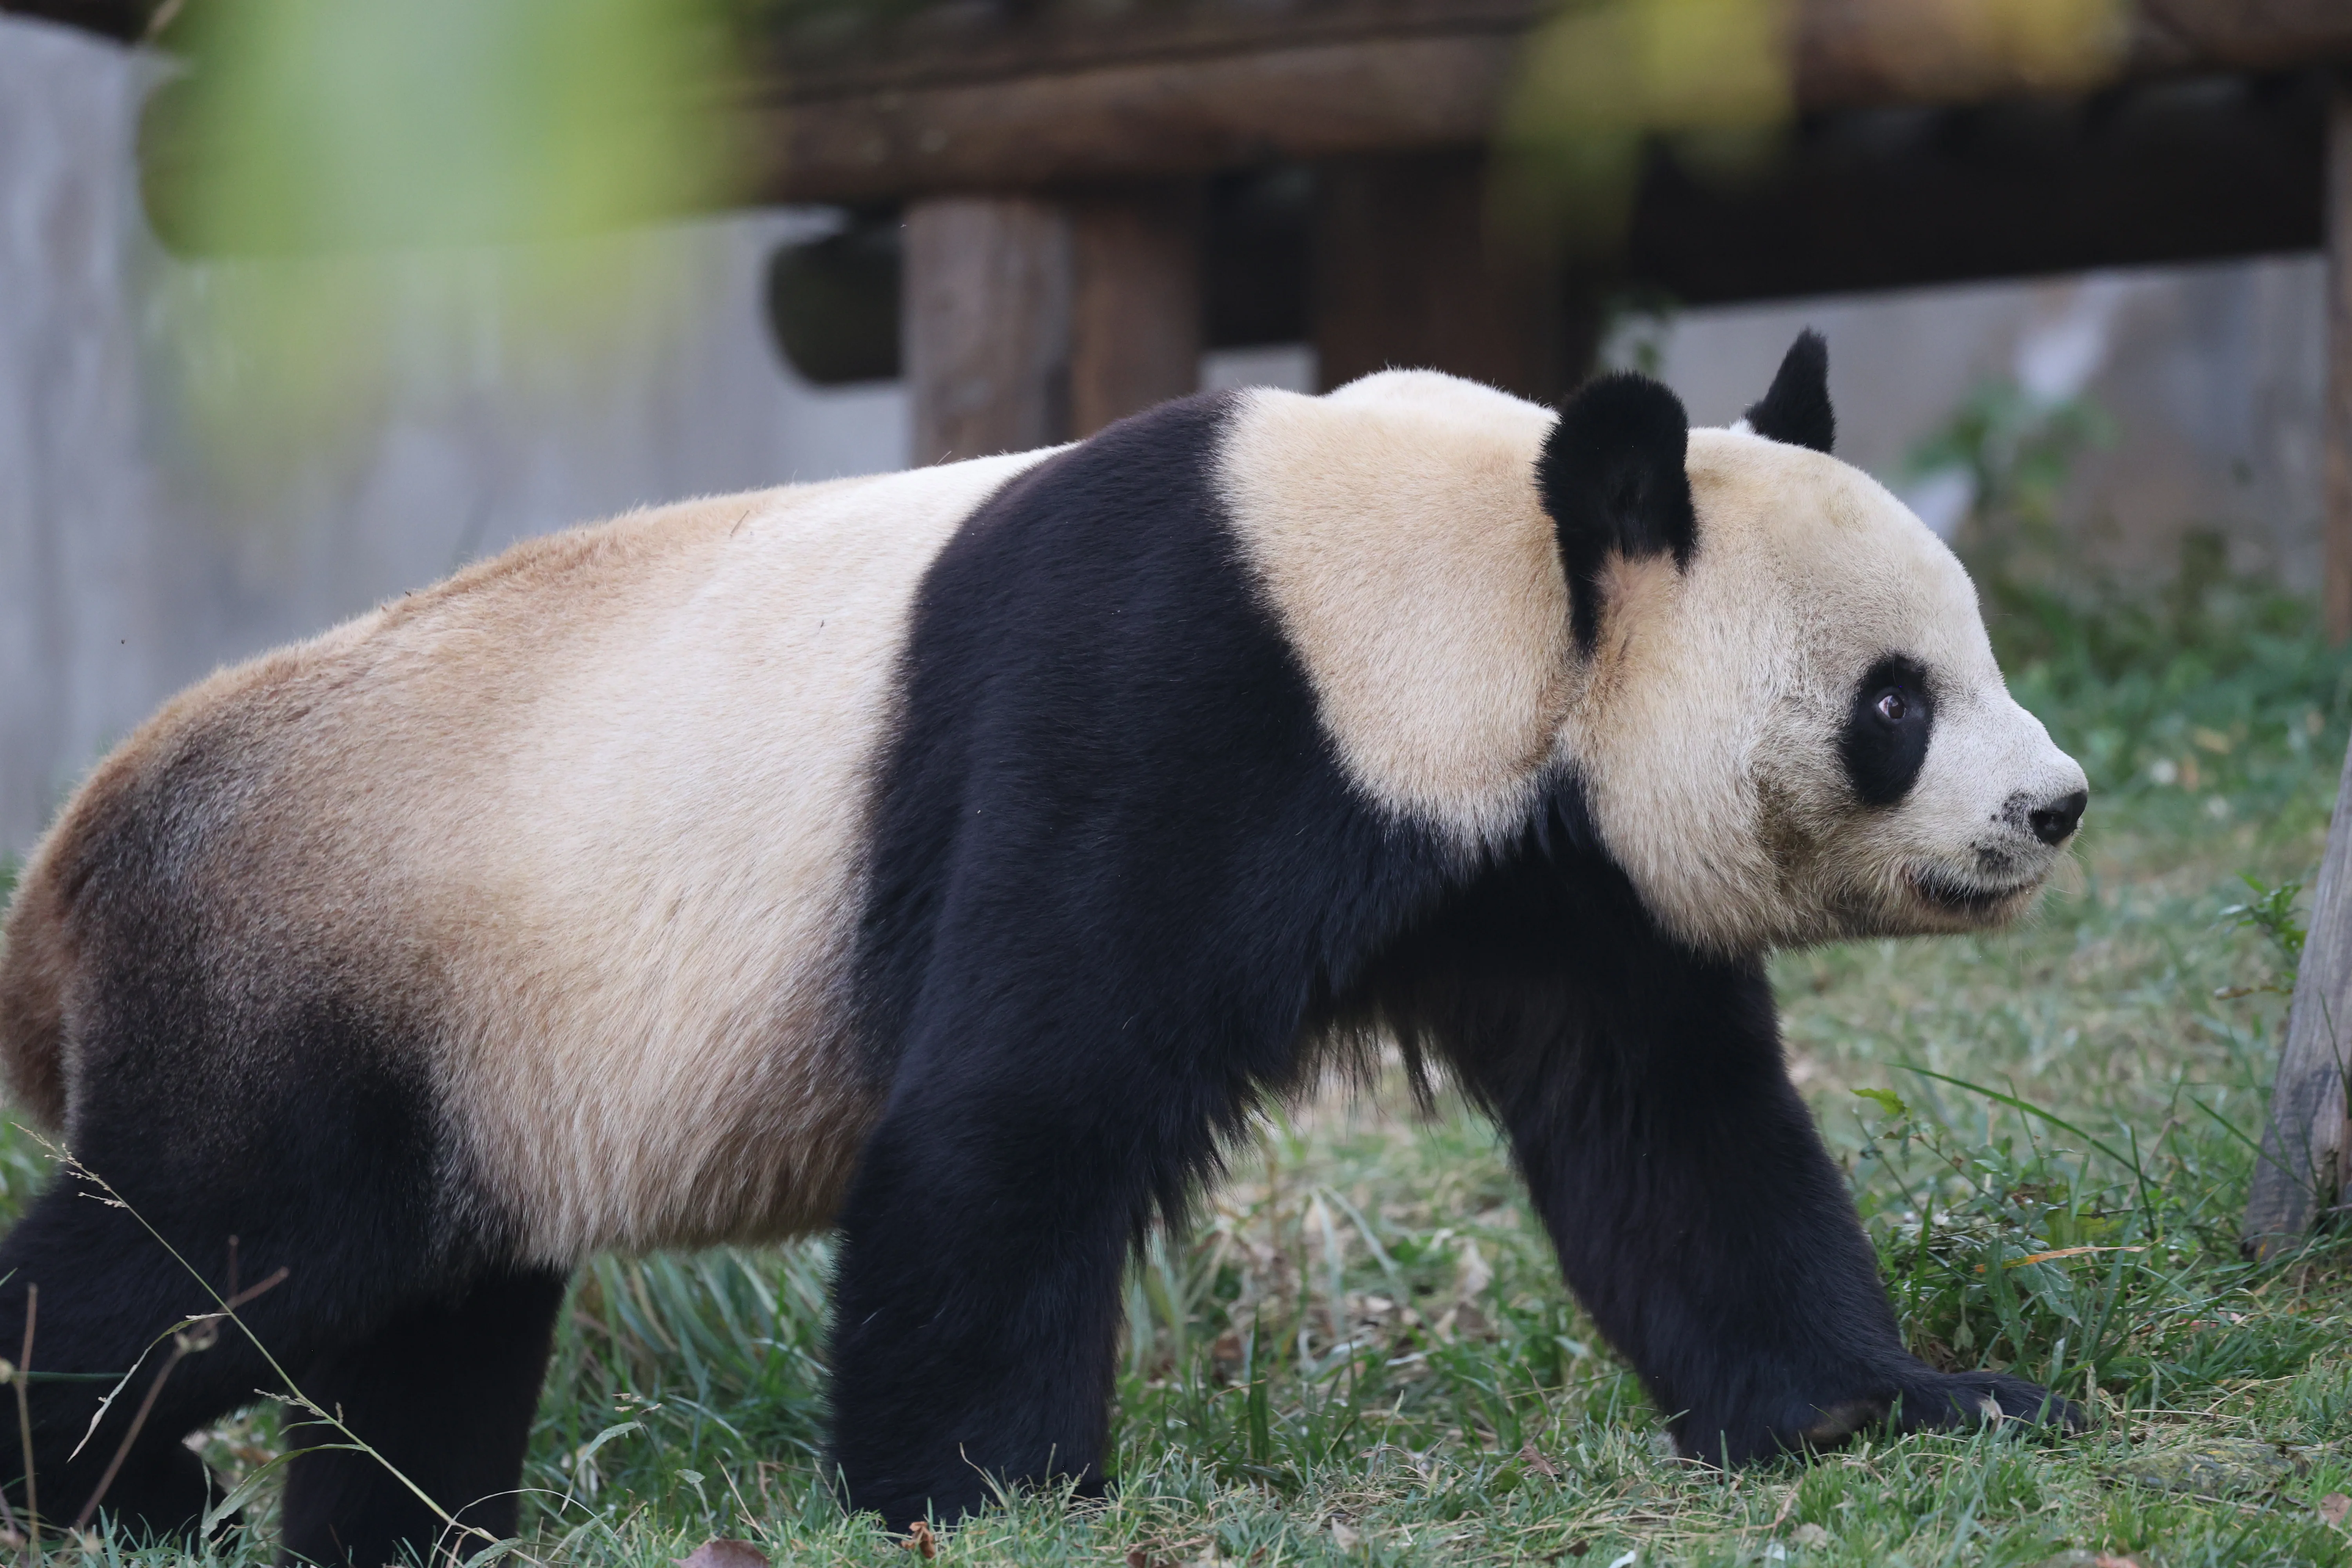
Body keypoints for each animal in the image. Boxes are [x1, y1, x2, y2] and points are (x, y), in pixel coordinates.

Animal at [0, 333, 2087, 1563]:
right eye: (1894, 704)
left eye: (1975, 647)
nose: (2056, 804)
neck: (1462, 574)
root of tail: (68, 863)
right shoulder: (1177, 695)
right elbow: (1021, 1100)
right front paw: (981, 1490)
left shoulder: (1534, 862)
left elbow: (1670, 1124)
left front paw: (1892, 1399)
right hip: (296, 974)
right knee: (217, 1249)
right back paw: (126, 1488)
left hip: (469, 1040)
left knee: (431, 1305)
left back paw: (404, 1528)